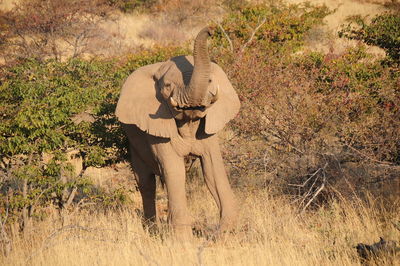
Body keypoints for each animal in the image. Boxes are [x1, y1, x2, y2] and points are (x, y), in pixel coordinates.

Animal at [115, 26, 241, 235]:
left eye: (210, 81)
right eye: (167, 86)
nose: (211, 30)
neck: (187, 122)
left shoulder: (208, 128)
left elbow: (212, 170)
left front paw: (223, 235)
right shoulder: (156, 130)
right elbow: (174, 171)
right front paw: (182, 239)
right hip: (133, 141)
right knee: (146, 183)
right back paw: (152, 230)